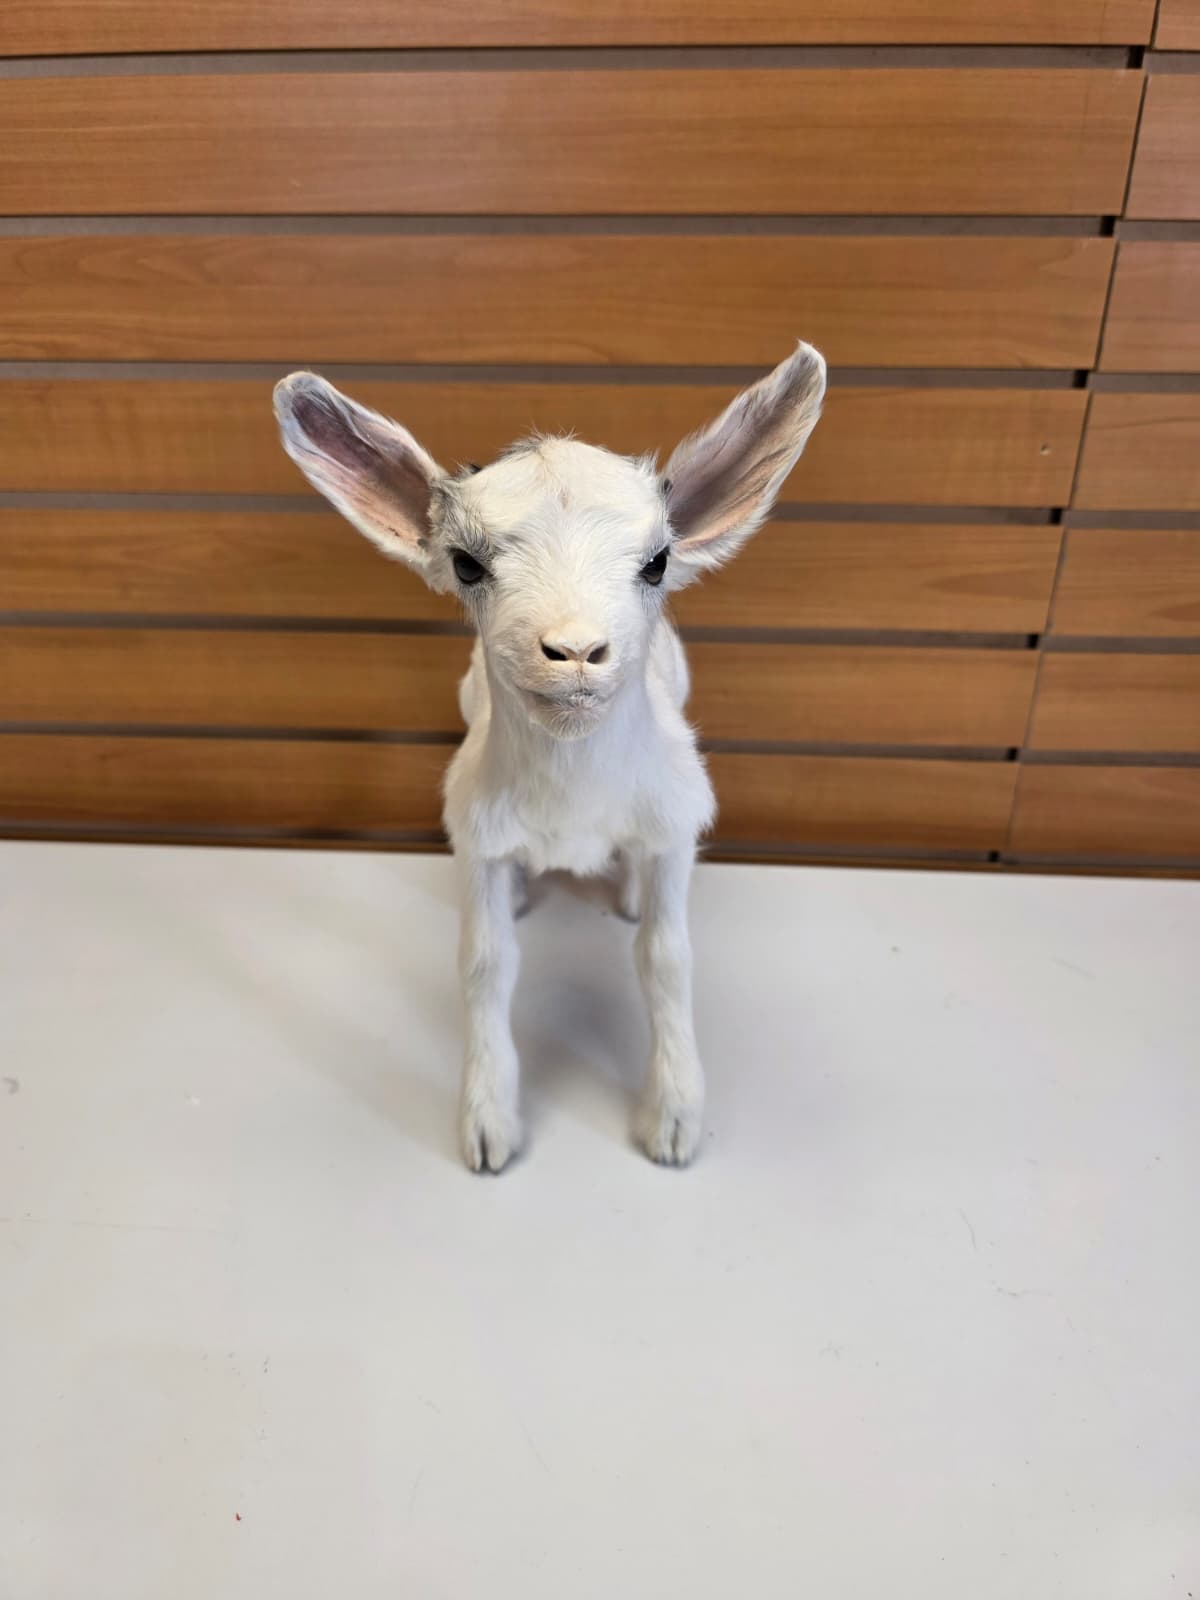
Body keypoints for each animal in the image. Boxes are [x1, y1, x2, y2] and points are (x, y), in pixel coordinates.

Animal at [273, 344, 826, 1172]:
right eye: (466, 564)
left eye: (657, 562)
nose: (574, 650)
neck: (572, 802)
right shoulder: (474, 838)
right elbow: (484, 963)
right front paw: (487, 1123)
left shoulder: (674, 824)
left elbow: (666, 958)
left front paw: (673, 1118)